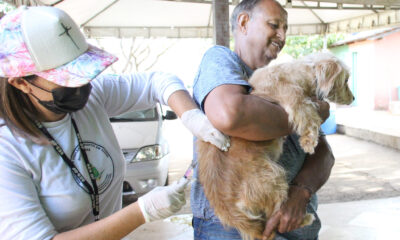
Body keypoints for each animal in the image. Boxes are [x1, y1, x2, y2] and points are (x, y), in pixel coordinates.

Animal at [197, 53, 354, 240]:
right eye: (346, 80)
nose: (353, 99)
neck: (303, 74)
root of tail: (226, 207)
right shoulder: (293, 97)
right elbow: (308, 112)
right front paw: (309, 141)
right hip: (272, 177)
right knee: (274, 217)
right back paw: (305, 218)